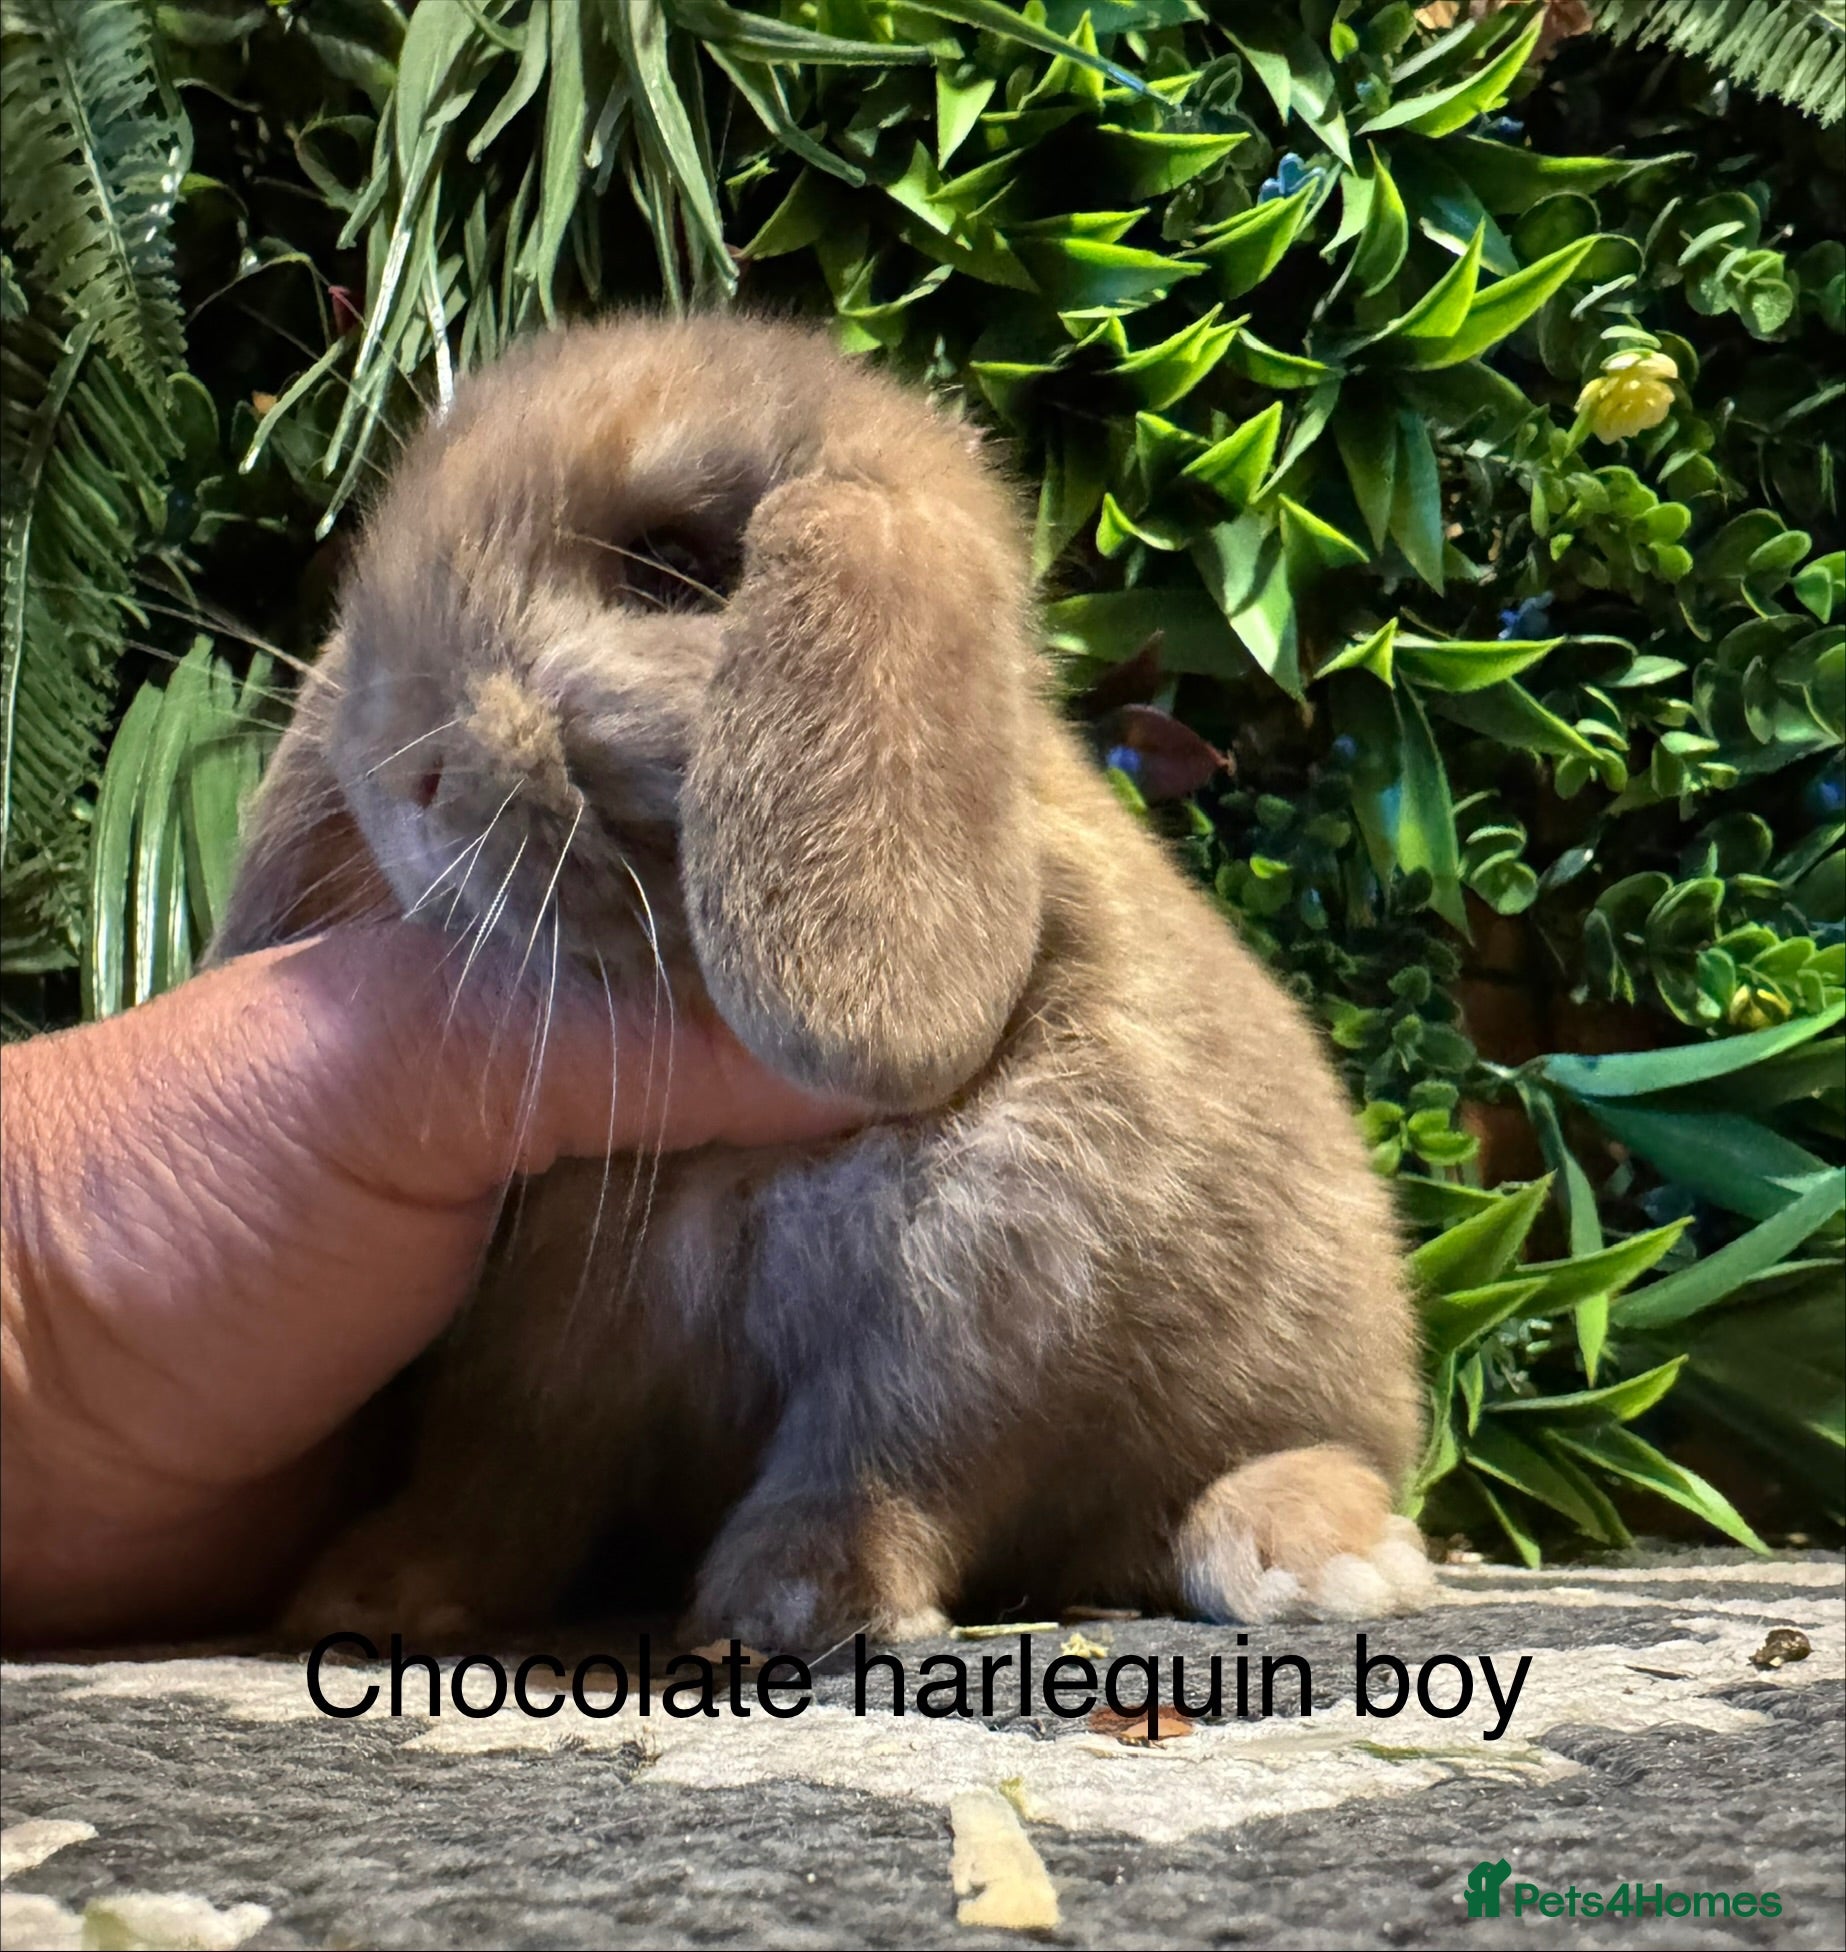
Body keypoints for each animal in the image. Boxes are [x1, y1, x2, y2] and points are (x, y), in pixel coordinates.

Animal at [210, 313, 1435, 1649]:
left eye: (672, 569)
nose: (402, 769)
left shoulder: (986, 1292)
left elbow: (876, 1458)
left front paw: (796, 1604)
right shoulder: (542, 1348)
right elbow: (496, 1475)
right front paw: (378, 1590)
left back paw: (1315, 1559)